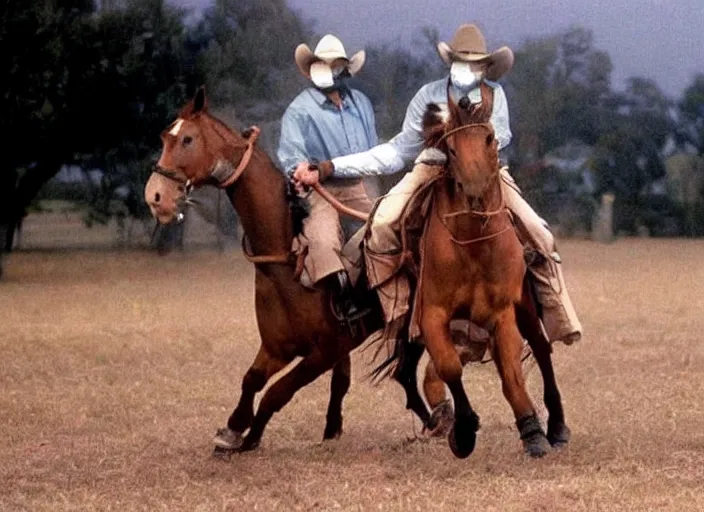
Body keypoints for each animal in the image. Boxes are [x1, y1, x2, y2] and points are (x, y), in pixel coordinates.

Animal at [143, 88, 440, 452]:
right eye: (164, 137)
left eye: (187, 139)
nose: (156, 196)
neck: (288, 261)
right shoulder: (277, 347)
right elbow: (253, 379)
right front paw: (233, 429)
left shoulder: (323, 353)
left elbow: (277, 392)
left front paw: (249, 436)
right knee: (405, 373)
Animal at [384, 94, 572, 458]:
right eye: (450, 147)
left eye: (490, 138)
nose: (475, 189)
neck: (473, 246)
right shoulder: (432, 315)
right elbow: (448, 366)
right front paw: (463, 430)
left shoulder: (502, 313)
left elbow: (511, 374)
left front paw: (533, 432)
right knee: (409, 371)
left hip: (526, 306)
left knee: (542, 350)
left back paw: (557, 427)